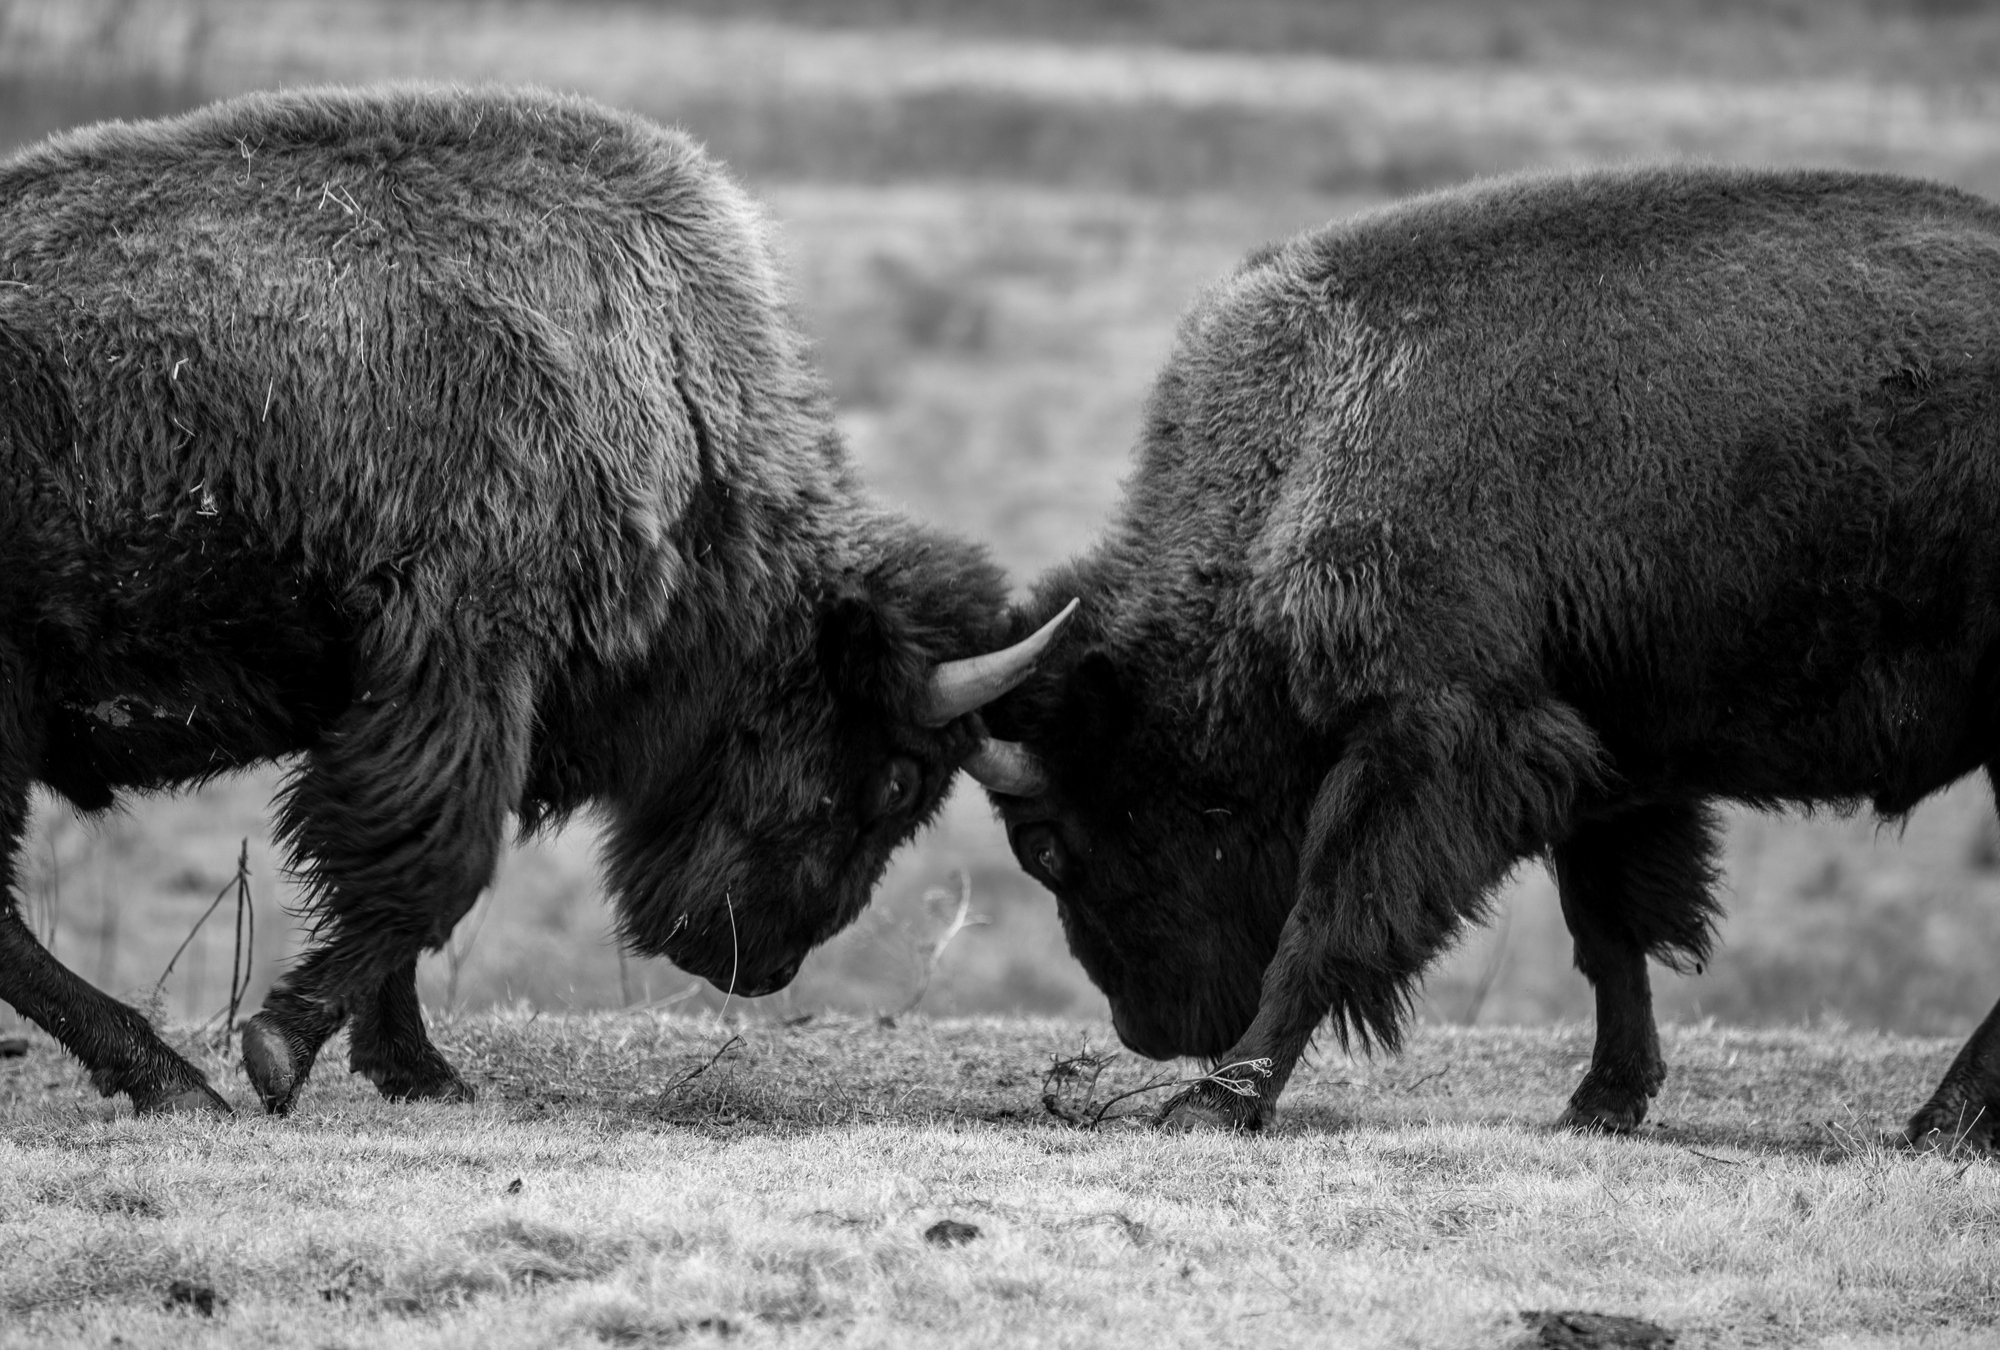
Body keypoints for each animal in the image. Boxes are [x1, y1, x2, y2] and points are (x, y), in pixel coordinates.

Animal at [0, 87, 1064, 1120]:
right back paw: (171, 1079)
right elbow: (429, 870)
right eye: (895, 781)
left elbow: (399, 880)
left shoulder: (409, 696)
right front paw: (280, 1052)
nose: (760, 969)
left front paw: (419, 1073)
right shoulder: (466, 661)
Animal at [976, 164, 2000, 1144]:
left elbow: (1327, 924)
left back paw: (1944, 1124)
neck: (1301, 445)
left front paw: (1214, 1103)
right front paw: (1603, 1101)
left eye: (1046, 845)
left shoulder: (1436, 732)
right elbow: (1608, 931)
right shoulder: (1599, 752)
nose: (1146, 1031)